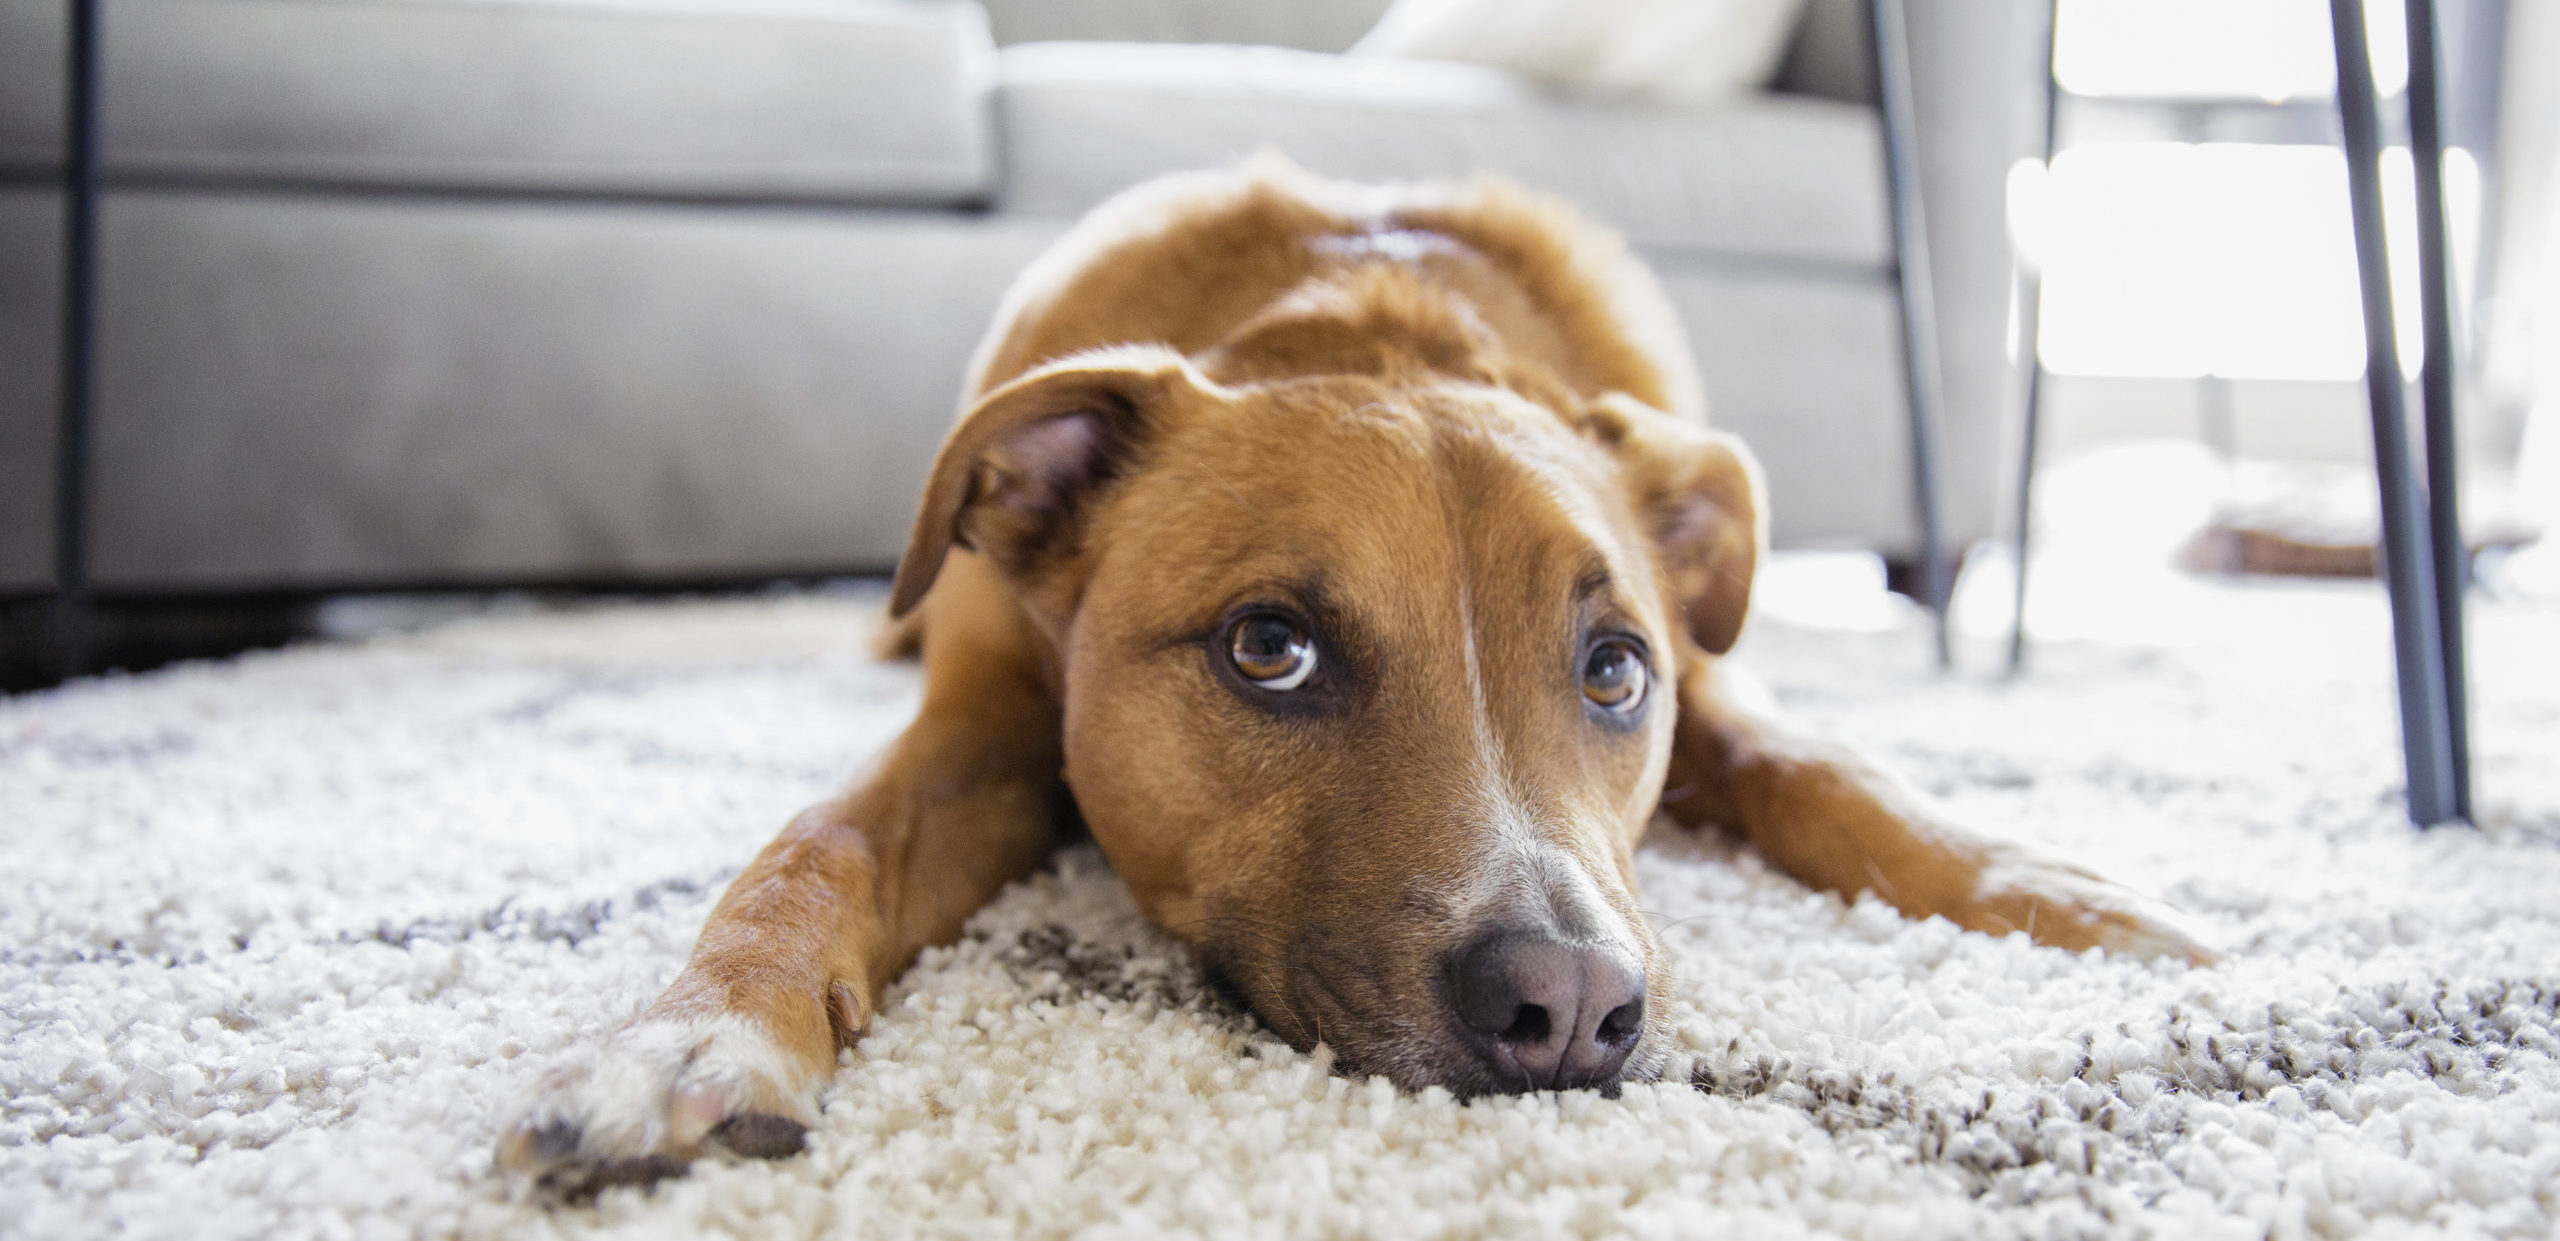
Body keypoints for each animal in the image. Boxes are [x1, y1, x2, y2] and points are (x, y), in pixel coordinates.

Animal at [494, 159, 2201, 1187]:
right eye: (1269, 648)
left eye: (1615, 671)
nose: (1572, 1009)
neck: (1374, 332)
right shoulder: (982, 720)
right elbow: (818, 843)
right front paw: (693, 1033)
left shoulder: (1719, 693)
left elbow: (1830, 766)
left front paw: (2051, 889)